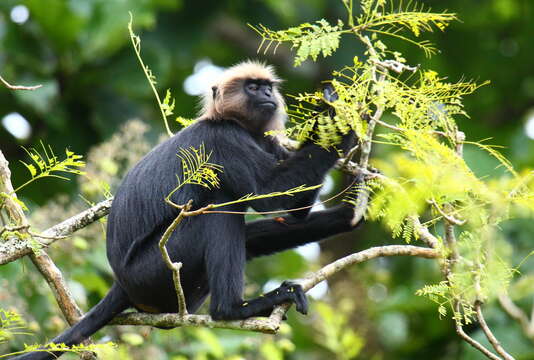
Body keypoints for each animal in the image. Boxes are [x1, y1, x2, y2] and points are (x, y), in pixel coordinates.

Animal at [13, 60, 364, 358]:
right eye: (252, 87)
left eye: (267, 87)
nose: (266, 94)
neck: (235, 123)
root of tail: (122, 283)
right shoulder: (223, 139)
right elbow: (272, 197)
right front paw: (338, 113)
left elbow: (293, 213)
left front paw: (351, 209)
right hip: (153, 270)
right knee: (217, 207)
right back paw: (233, 310)